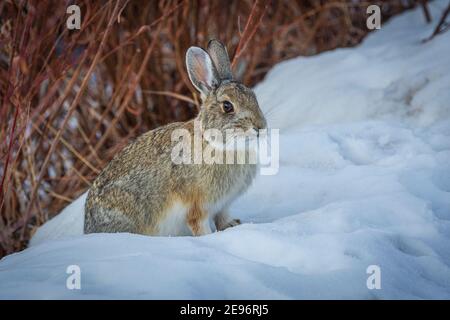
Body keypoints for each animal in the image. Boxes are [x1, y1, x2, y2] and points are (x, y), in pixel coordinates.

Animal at [84, 39, 266, 235]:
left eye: (254, 96)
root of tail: (88, 227)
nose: (261, 126)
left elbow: (222, 217)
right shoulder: (197, 207)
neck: (217, 143)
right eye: (227, 106)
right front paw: (208, 236)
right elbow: (199, 225)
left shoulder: (222, 205)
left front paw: (231, 226)